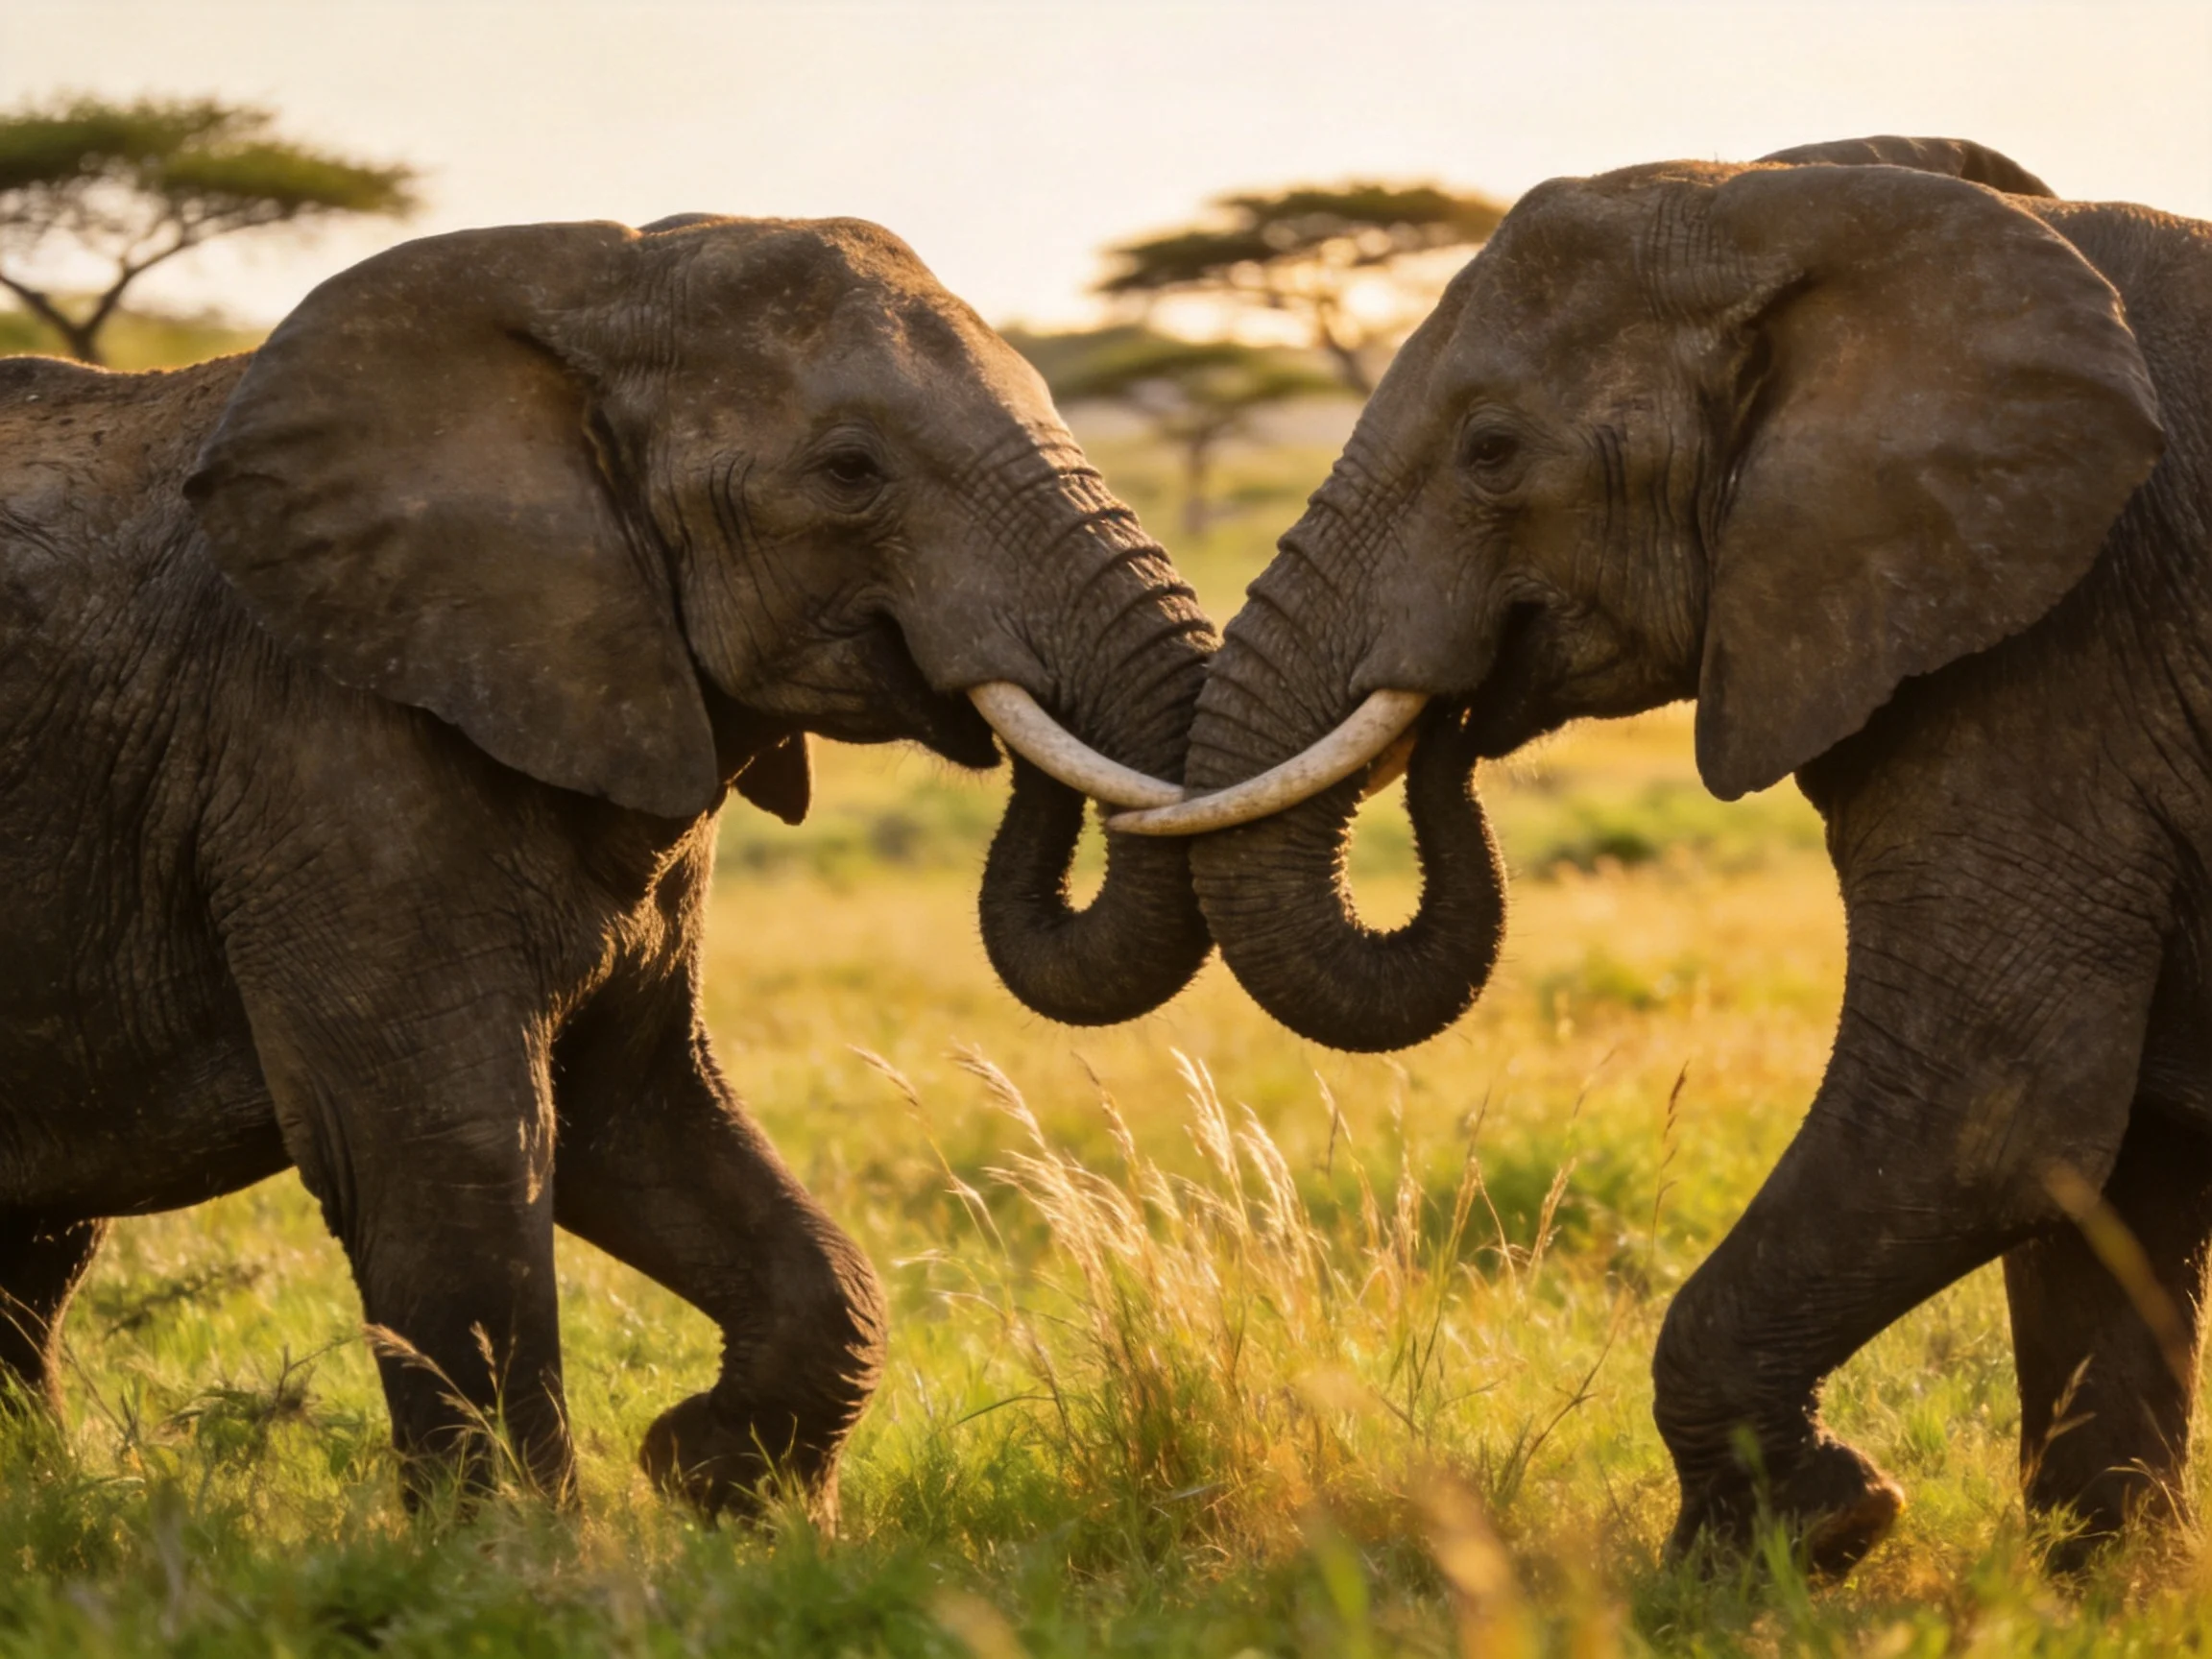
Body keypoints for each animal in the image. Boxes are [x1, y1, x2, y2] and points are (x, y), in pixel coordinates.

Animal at [0, 212, 1217, 1520]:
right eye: (850, 470)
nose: (1002, 710)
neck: (586, 289)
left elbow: (640, 1111)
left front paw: (715, 1479)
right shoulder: (315, 744)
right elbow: (456, 1148)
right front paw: (524, 1558)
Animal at [1106, 136, 2212, 1571]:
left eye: (1492, 451)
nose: (1461, 715)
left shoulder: (2063, 649)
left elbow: (1987, 1116)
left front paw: (1797, 1543)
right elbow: (2111, 1171)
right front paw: (2091, 1585)